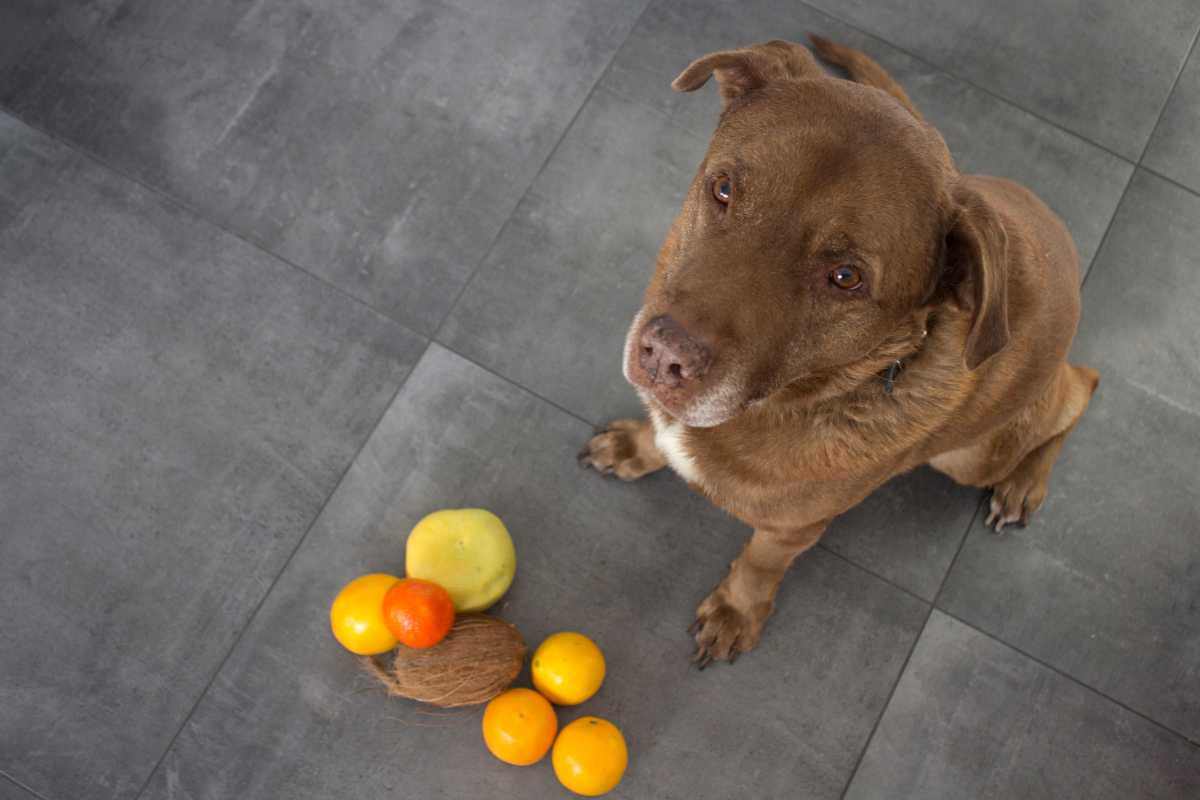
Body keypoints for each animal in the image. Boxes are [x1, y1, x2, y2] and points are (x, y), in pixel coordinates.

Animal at [580, 35, 1099, 662]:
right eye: (723, 189)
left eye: (846, 277)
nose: (663, 356)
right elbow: (659, 435)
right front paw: (636, 446)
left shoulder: (792, 530)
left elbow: (759, 564)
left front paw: (736, 611)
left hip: (973, 455)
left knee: (1079, 388)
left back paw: (1025, 482)